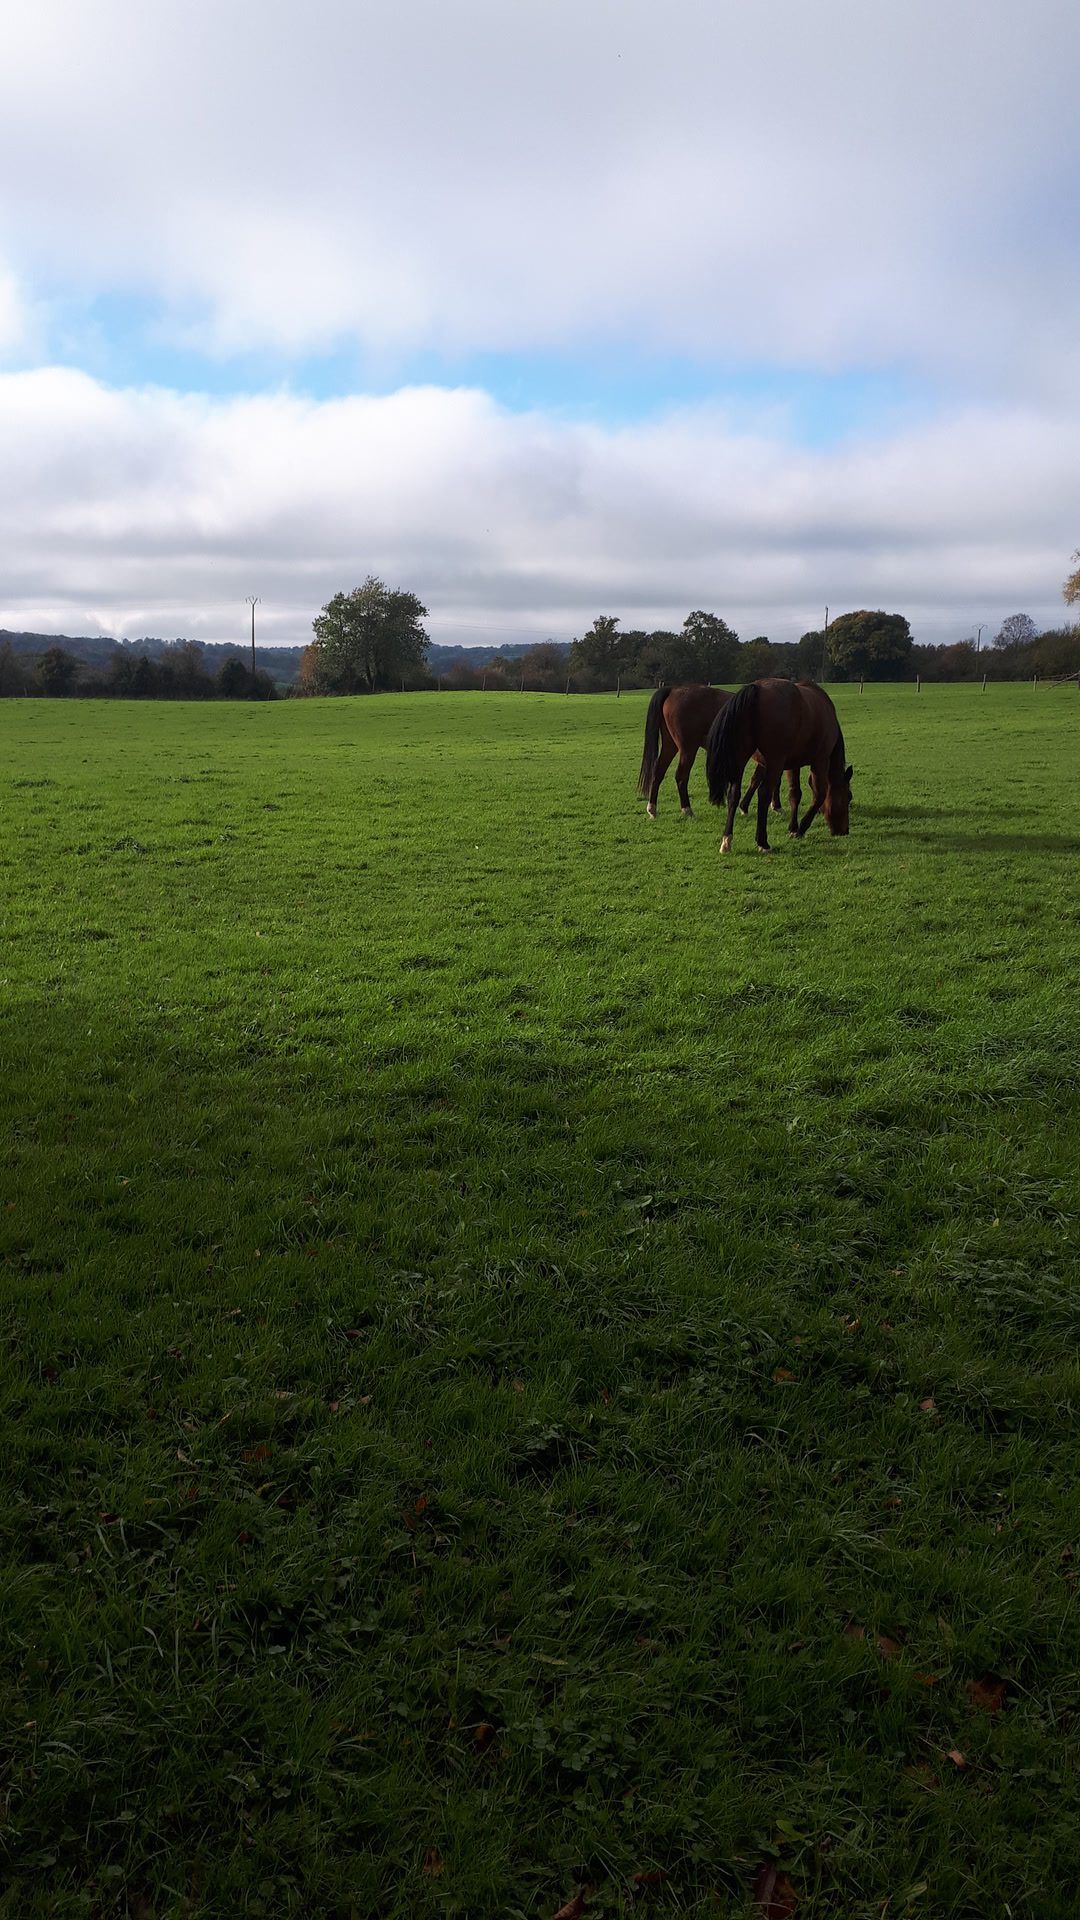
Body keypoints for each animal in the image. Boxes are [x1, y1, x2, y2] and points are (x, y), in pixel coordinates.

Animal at [638, 684, 780, 819]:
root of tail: (673, 690)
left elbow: (756, 780)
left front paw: (745, 807)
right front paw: (776, 806)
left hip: (670, 745)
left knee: (658, 772)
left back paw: (652, 808)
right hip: (688, 748)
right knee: (681, 776)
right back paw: (687, 809)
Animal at [705, 679, 852, 852]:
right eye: (848, 797)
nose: (844, 831)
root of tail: (757, 689)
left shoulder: (793, 764)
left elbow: (795, 794)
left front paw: (793, 827)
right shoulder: (820, 761)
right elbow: (819, 795)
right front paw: (801, 828)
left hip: (741, 757)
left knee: (734, 793)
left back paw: (727, 840)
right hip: (775, 761)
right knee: (764, 793)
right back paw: (763, 842)